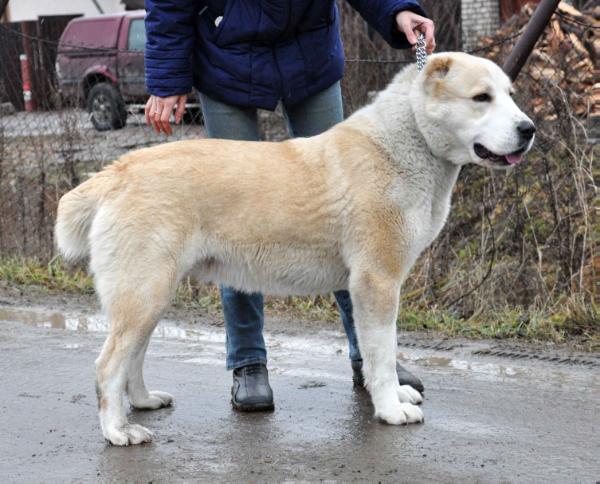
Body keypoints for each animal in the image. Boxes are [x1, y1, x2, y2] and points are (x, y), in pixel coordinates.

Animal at [55, 51, 536, 444]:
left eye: (510, 96)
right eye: (481, 97)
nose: (528, 129)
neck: (408, 140)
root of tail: (116, 171)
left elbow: (375, 354)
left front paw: (393, 396)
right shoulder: (376, 282)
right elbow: (382, 354)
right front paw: (390, 409)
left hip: (150, 295)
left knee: (131, 358)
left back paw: (142, 401)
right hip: (144, 293)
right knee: (108, 365)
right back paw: (118, 431)